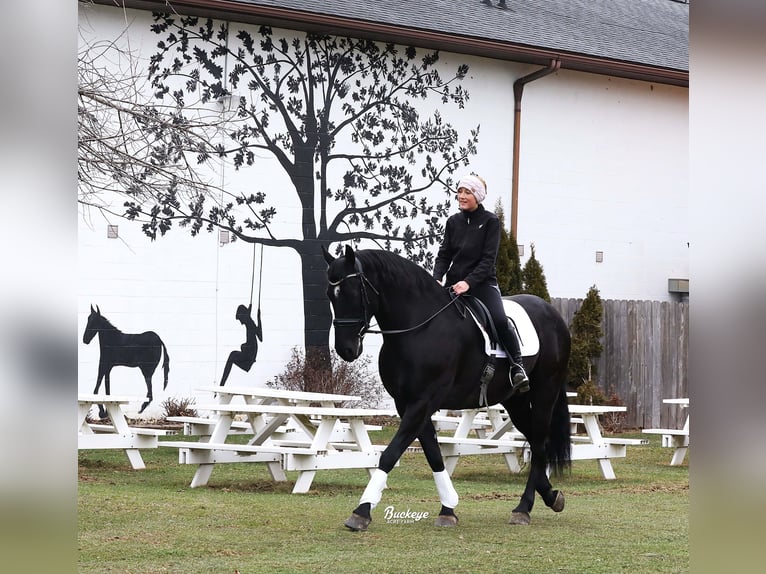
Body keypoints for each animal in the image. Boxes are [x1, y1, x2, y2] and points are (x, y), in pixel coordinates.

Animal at [322, 248, 568, 532]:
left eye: (352, 292)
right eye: (330, 295)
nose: (346, 349)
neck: (420, 327)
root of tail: (552, 312)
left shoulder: (423, 401)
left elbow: (390, 454)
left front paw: (361, 511)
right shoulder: (407, 403)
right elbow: (433, 454)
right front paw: (448, 509)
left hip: (544, 393)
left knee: (538, 441)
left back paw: (523, 508)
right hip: (514, 400)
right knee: (538, 441)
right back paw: (550, 495)